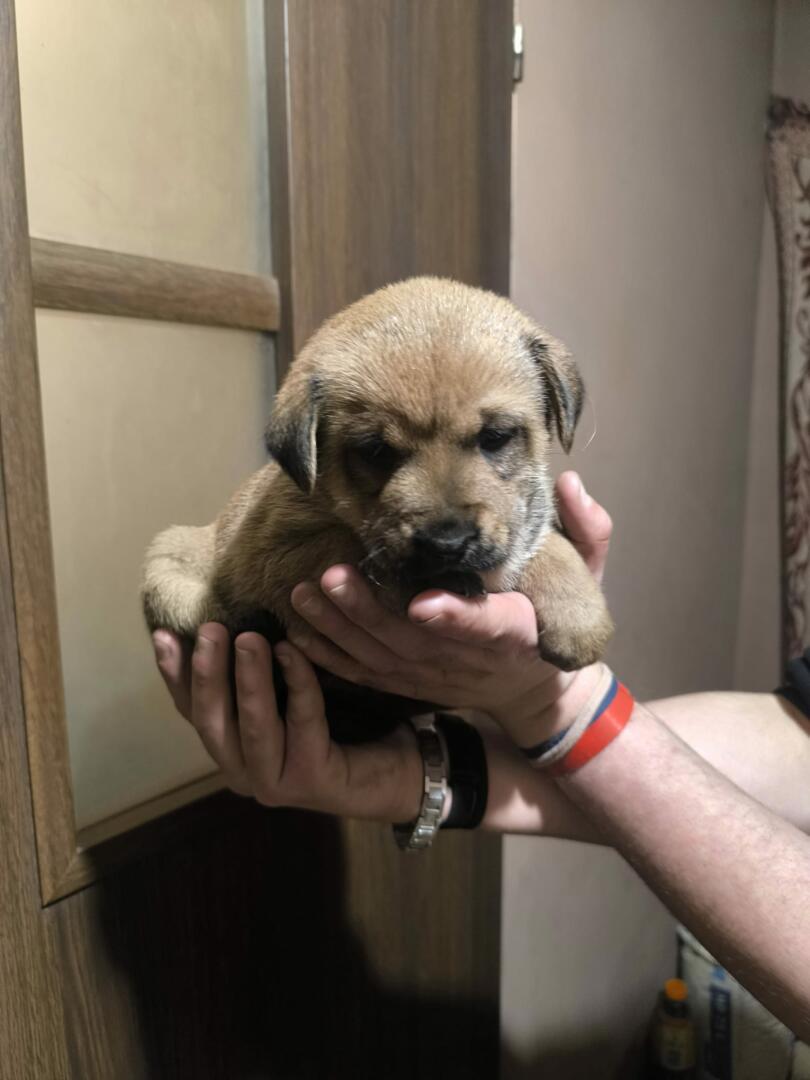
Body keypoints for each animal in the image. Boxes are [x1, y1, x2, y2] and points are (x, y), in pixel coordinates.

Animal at [142, 277, 613, 739]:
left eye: (496, 437)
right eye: (375, 451)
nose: (447, 543)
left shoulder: (528, 517)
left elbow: (549, 545)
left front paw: (579, 615)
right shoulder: (276, 554)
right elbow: (356, 551)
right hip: (171, 559)